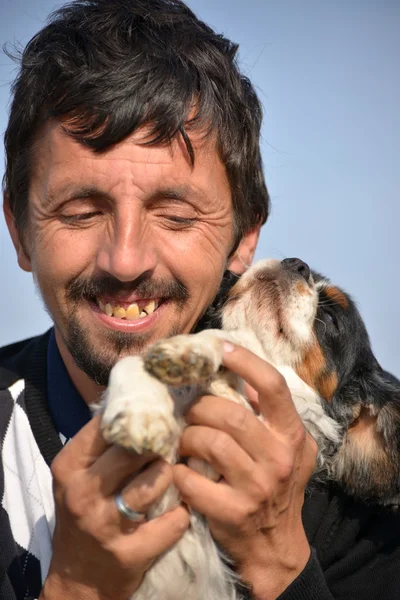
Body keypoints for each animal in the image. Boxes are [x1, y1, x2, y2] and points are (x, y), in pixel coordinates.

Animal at [99, 256, 400, 600]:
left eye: (330, 317)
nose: (296, 262)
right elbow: (135, 362)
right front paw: (141, 412)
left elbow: (235, 341)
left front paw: (192, 351)